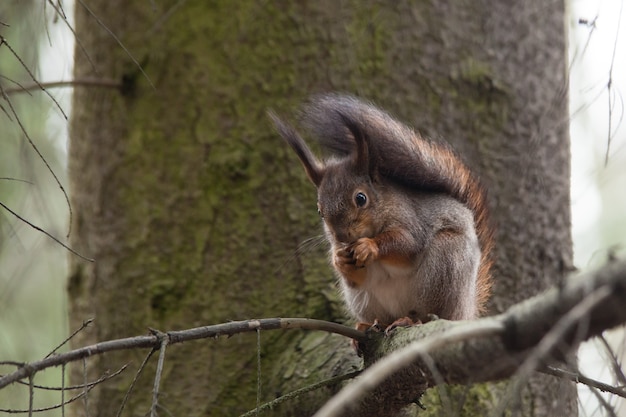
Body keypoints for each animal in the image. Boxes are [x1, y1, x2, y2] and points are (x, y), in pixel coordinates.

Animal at [268, 94, 492, 332]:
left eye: (361, 198)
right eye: (319, 210)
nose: (341, 236)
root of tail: (466, 310)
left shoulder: (412, 221)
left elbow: (407, 244)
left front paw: (369, 246)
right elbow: (355, 277)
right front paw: (339, 259)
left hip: (445, 264)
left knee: (429, 314)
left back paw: (412, 320)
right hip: (363, 300)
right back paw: (371, 325)